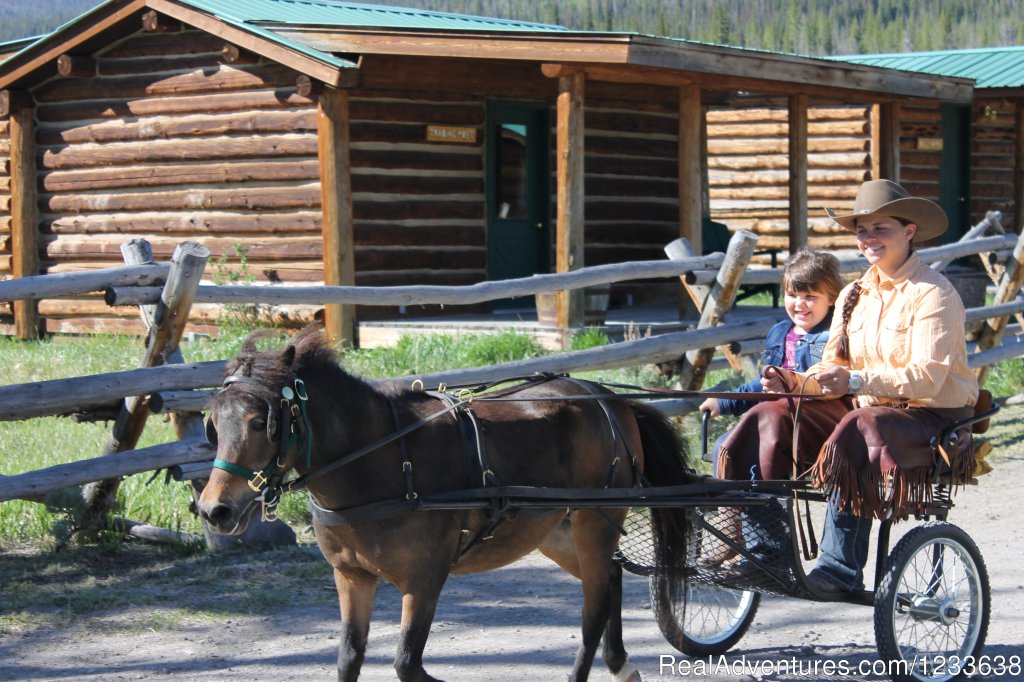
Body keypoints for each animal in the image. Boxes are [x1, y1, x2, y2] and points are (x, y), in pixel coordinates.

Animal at [197, 327, 696, 675]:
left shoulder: (424, 580)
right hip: (554, 530)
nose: (214, 510)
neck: (383, 461)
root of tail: (611, 399)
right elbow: (349, 657)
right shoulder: (352, 577)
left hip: (596, 522)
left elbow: (406, 663)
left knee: (593, 610)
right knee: (611, 577)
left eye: (261, 421)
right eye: (213, 424)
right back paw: (621, 664)